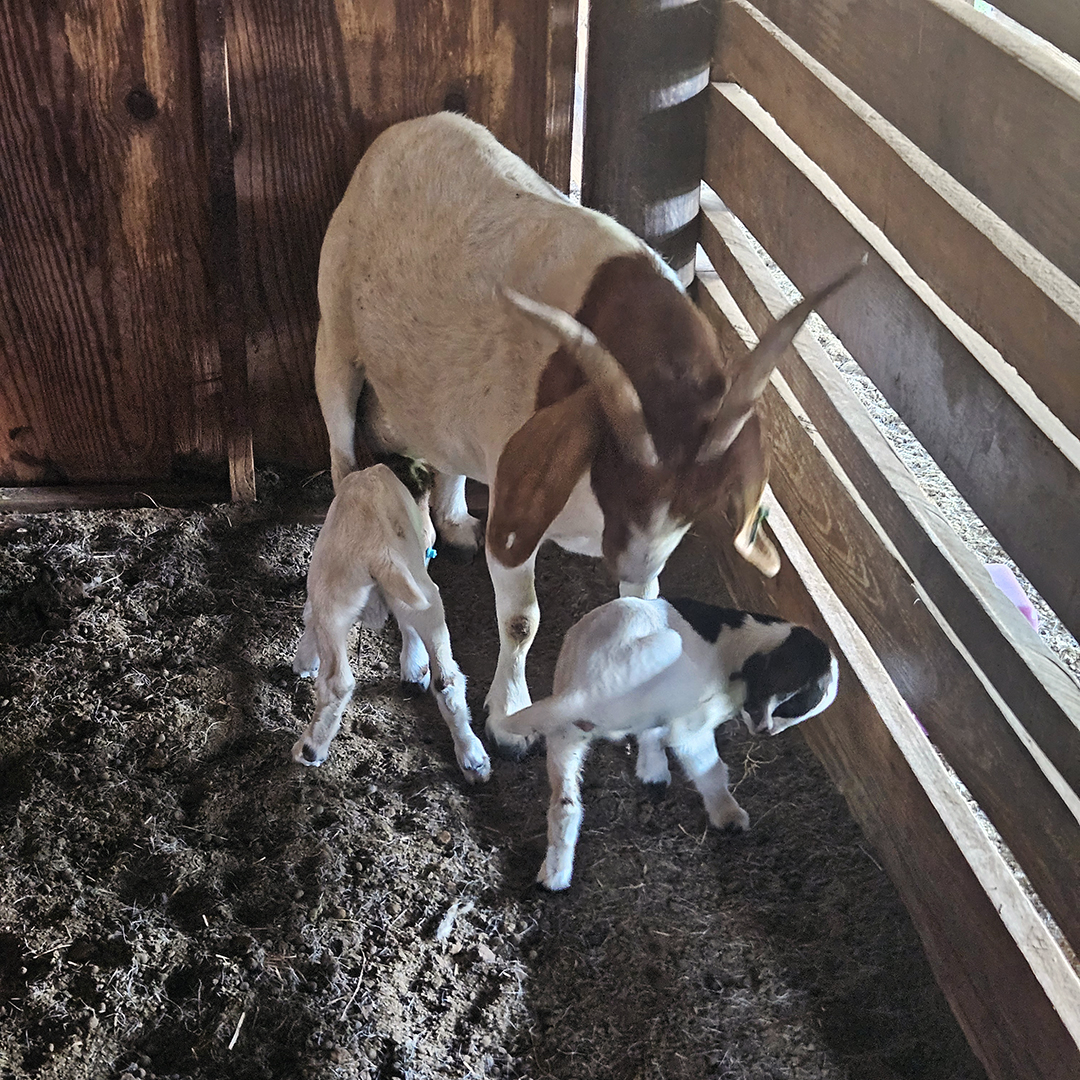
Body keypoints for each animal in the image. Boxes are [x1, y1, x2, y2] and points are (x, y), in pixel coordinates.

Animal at [313, 107, 859, 751]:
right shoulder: (521, 500)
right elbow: (521, 619)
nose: (631, 569)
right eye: (617, 482)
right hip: (335, 344)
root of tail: (413, 127)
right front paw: (510, 717)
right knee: (346, 464)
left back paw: (454, 522)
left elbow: (638, 616)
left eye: (699, 505)